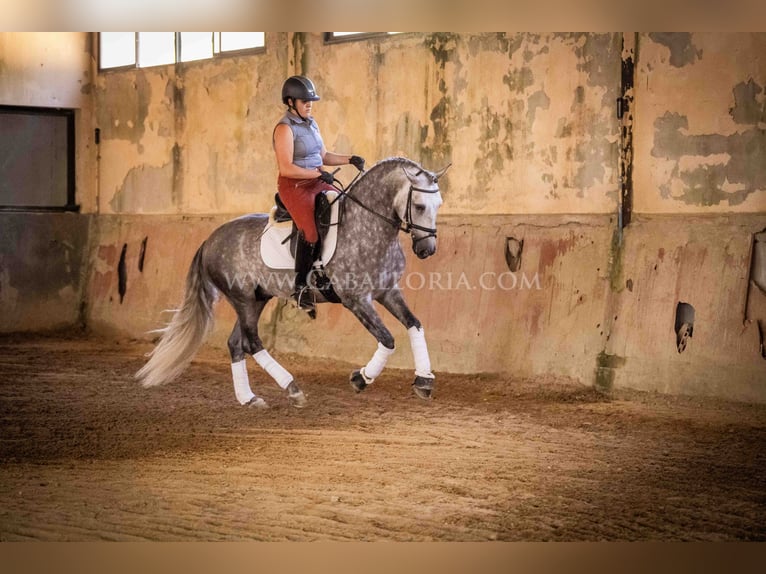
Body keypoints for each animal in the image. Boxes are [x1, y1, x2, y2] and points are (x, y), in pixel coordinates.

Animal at [137, 158, 450, 410]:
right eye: (419, 205)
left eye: (438, 206)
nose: (427, 250)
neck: (368, 227)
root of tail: (209, 239)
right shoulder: (356, 300)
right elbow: (387, 339)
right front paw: (361, 378)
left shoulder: (387, 292)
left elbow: (414, 324)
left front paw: (424, 380)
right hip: (242, 298)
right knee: (251, 342)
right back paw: (293, 389)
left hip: (256, 298)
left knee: (236, 343)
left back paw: (249, 398)